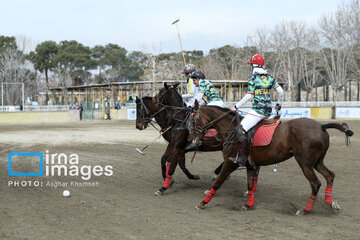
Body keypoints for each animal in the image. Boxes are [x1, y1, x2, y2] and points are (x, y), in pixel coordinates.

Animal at [191, 102, 354, 215]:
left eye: (194, 120)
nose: (193, 139)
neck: (231, 129)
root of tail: (321, 126)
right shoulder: (250, 164)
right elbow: (250, 184)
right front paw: (248, 205)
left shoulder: (230, 163)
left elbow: (218, 182)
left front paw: (202, 203)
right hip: (317, 162)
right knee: (330, 175)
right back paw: (330, 202)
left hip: (305, 162)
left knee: (315, 183)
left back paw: (305, 209)